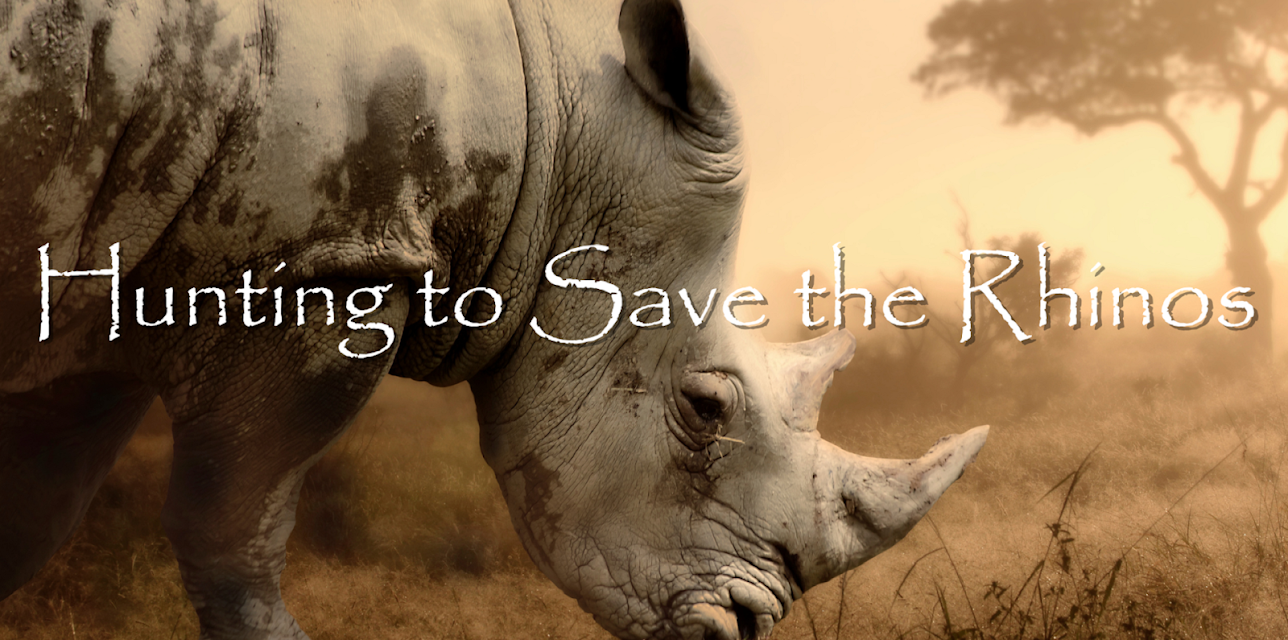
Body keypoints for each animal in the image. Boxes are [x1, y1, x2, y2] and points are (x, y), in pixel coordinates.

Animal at [0, 0, 988, 638]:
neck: (564, 126)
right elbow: (232, 536)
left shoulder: (100, 279)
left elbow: (33, 520)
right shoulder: (328, 264)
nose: (747, 626)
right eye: (704, 410)